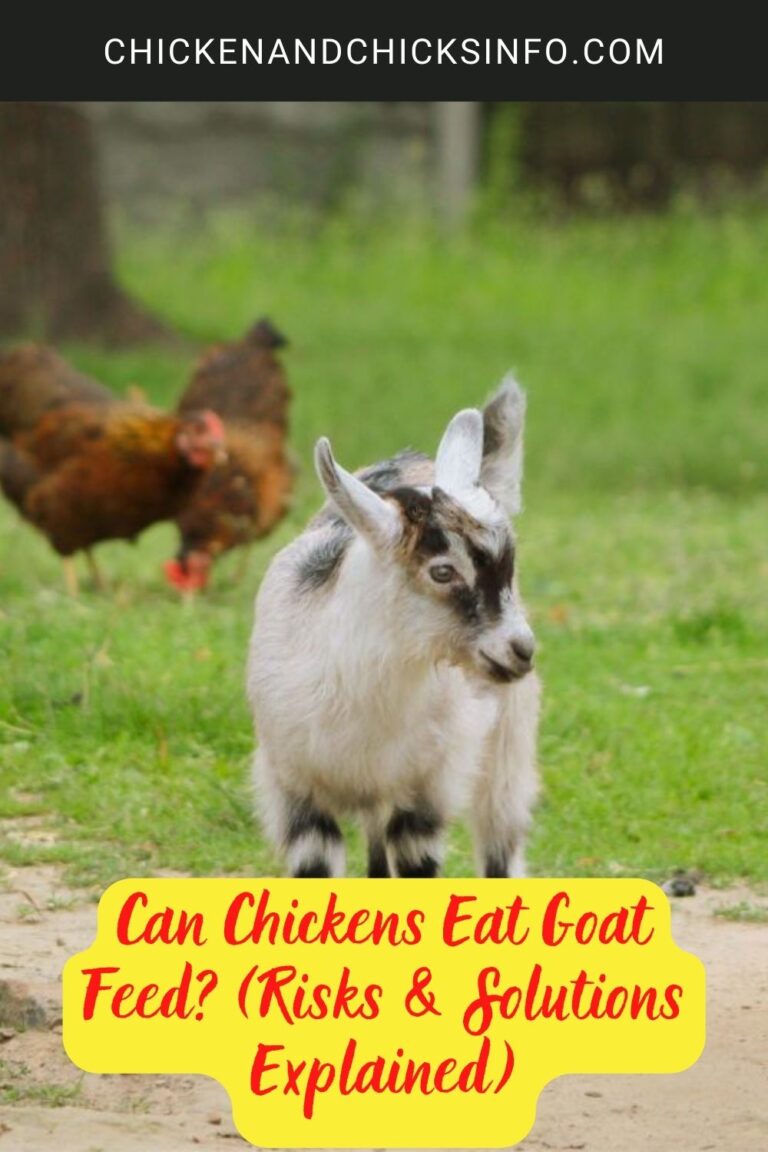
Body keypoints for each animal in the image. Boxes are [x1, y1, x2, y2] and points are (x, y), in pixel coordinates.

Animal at [247, 376, 540, 879]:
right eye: (442, 571)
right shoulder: (292, 787)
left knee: (500, 837)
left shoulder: (429, 788)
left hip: (508, 739)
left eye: (510, 565)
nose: (521, 649)